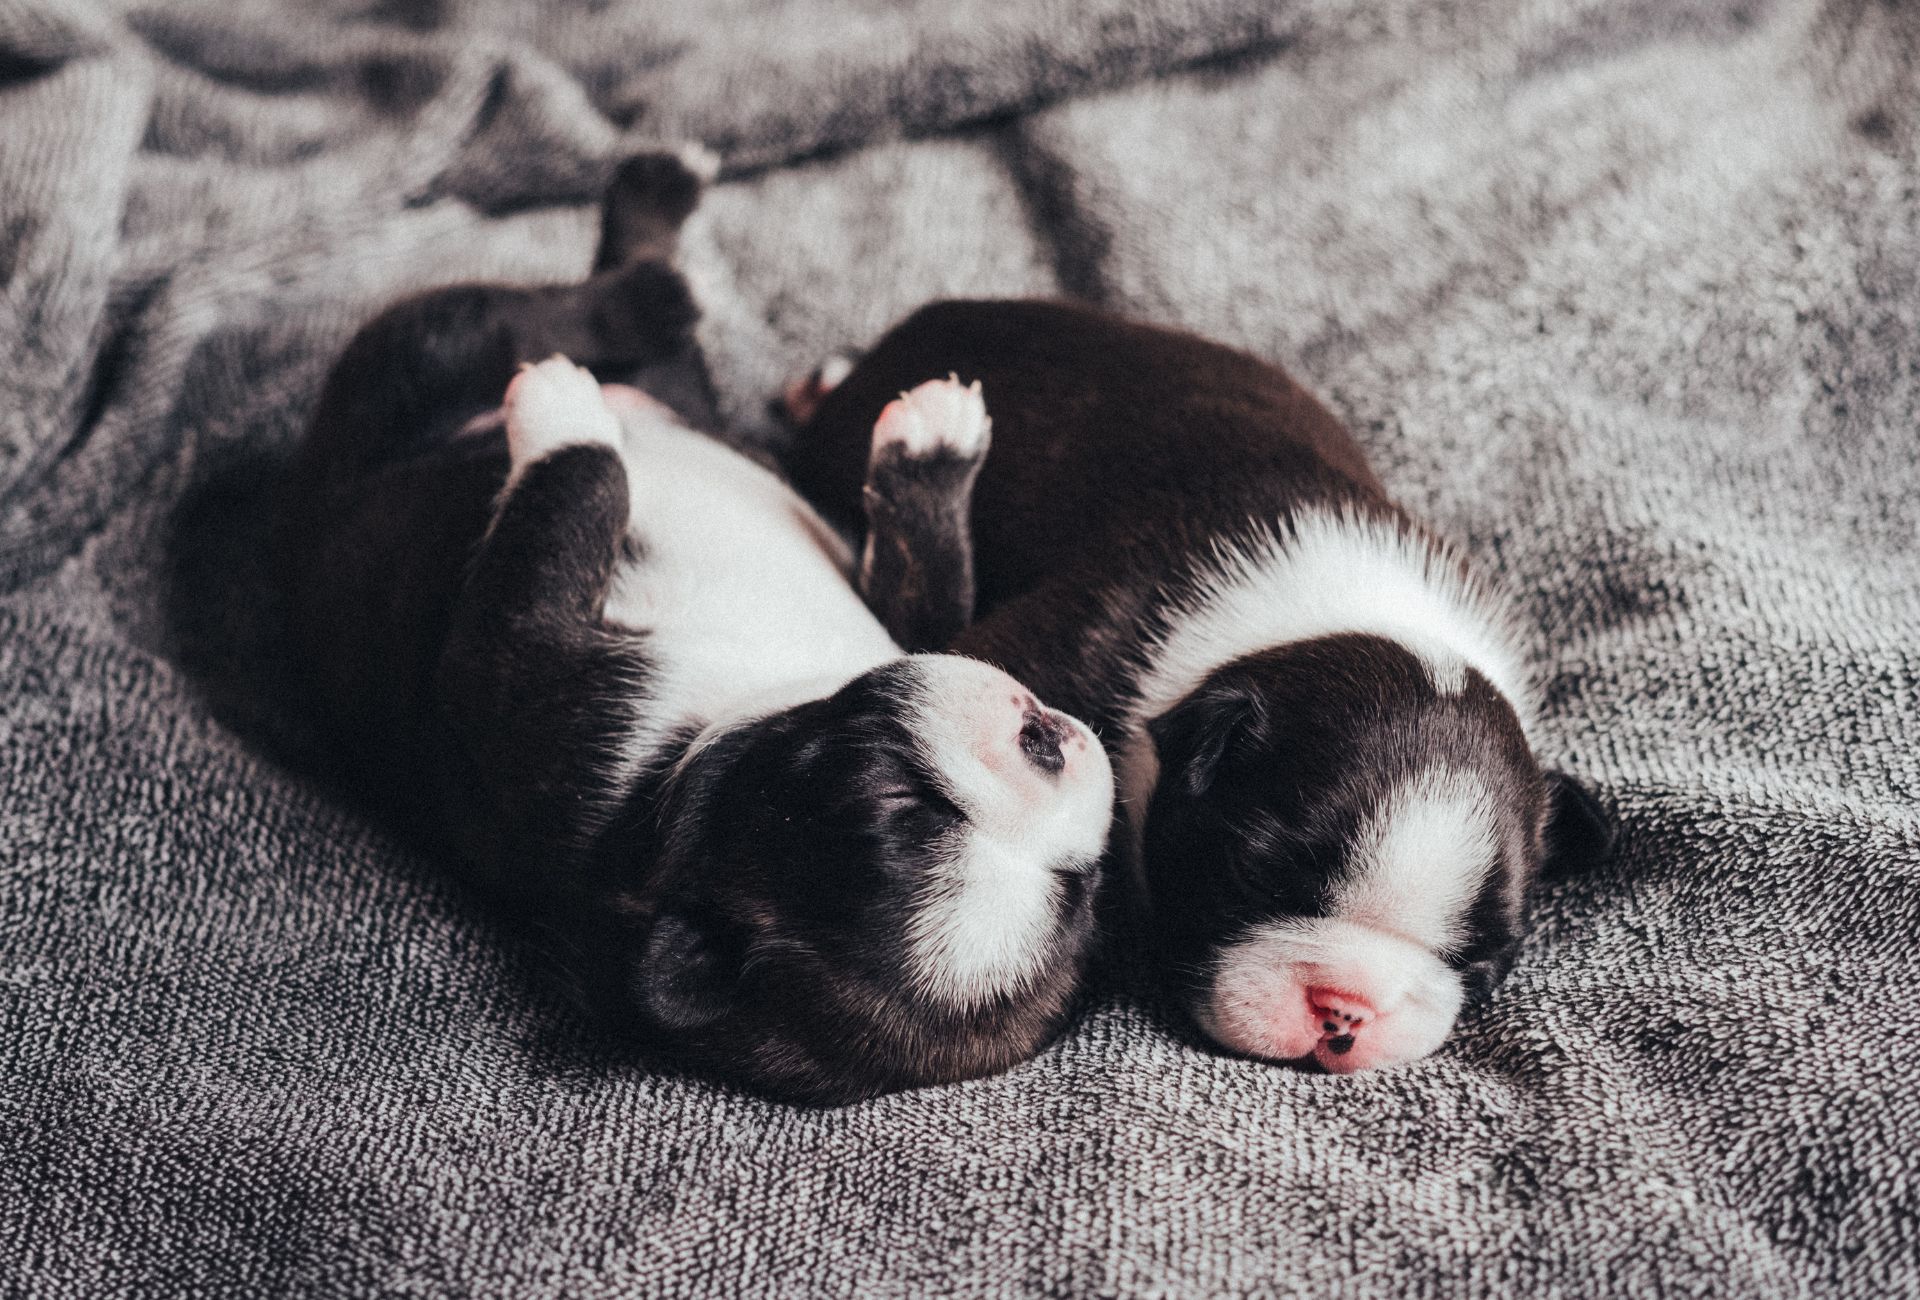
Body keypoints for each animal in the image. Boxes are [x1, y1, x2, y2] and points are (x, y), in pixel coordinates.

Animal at [272, 157, 1113, 1098]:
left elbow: (570, 498)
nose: (1049, 743)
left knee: (526, 316)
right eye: (900, 804)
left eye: (1077, 887)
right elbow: (925, 582)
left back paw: (646, 281)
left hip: (415, 362)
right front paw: (935, 448)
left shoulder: (512, 683)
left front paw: (563, 419)